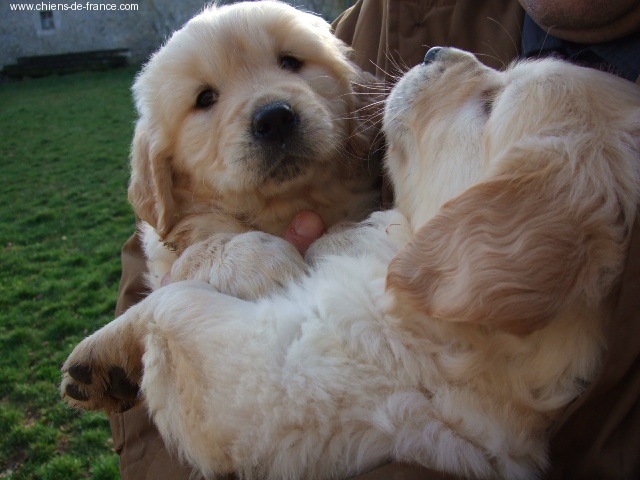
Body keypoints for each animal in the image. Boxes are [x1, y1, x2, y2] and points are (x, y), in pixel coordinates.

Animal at [63, 47, 640, 478]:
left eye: (491, 102)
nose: (434, 51)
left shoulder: (251, 376)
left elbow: (173, 302)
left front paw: (102, 362)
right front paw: (99, 358)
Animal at [130, 0, 380, 296]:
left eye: (290, 62)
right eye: (204, 98)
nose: (274, 118)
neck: (285, 206)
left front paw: (345, 245)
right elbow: (200, 251)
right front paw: (254, 261)